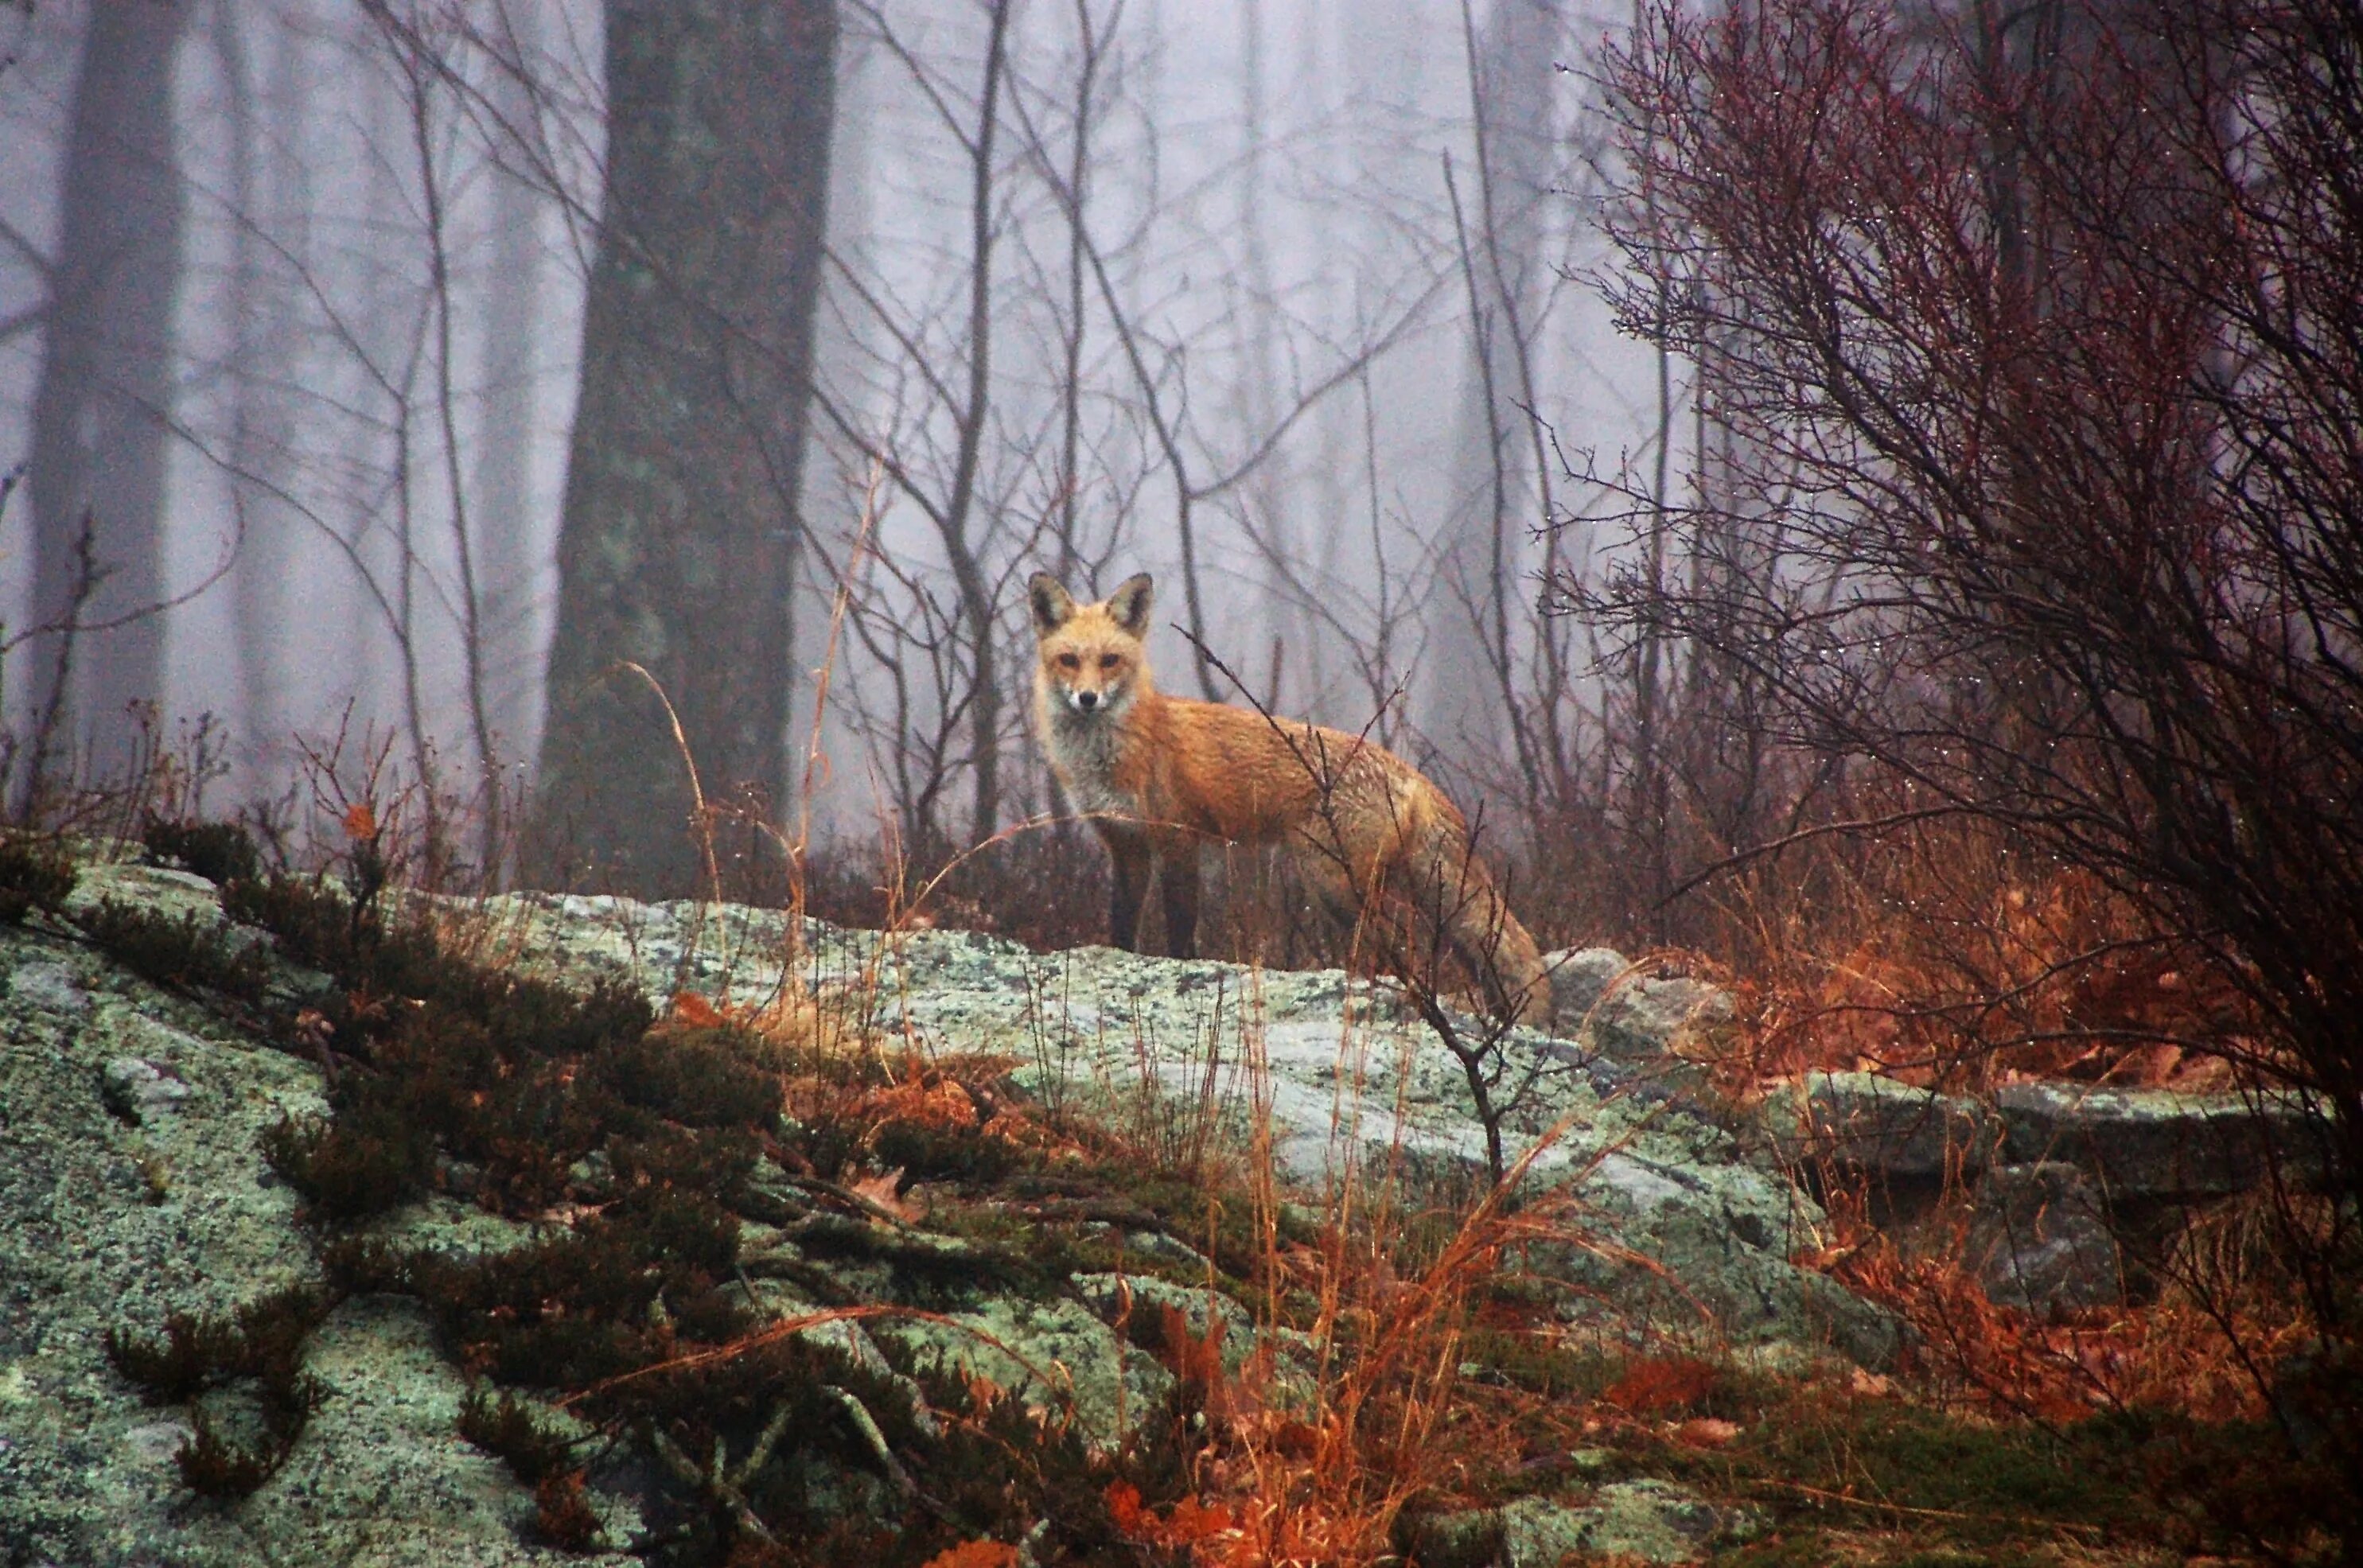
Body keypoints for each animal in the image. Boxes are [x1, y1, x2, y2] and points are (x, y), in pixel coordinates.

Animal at [1030, 576, 1550, 1029]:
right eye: (1069, 660)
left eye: (1111, 660)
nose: (1088, 698)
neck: (1112, 754)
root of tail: (1408, 771)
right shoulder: (1126, 845)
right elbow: (1122, 926)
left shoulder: (1179, 839)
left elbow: (1180, 931)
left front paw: (1183, 973)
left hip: (1333, 883)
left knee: (1408, 944)